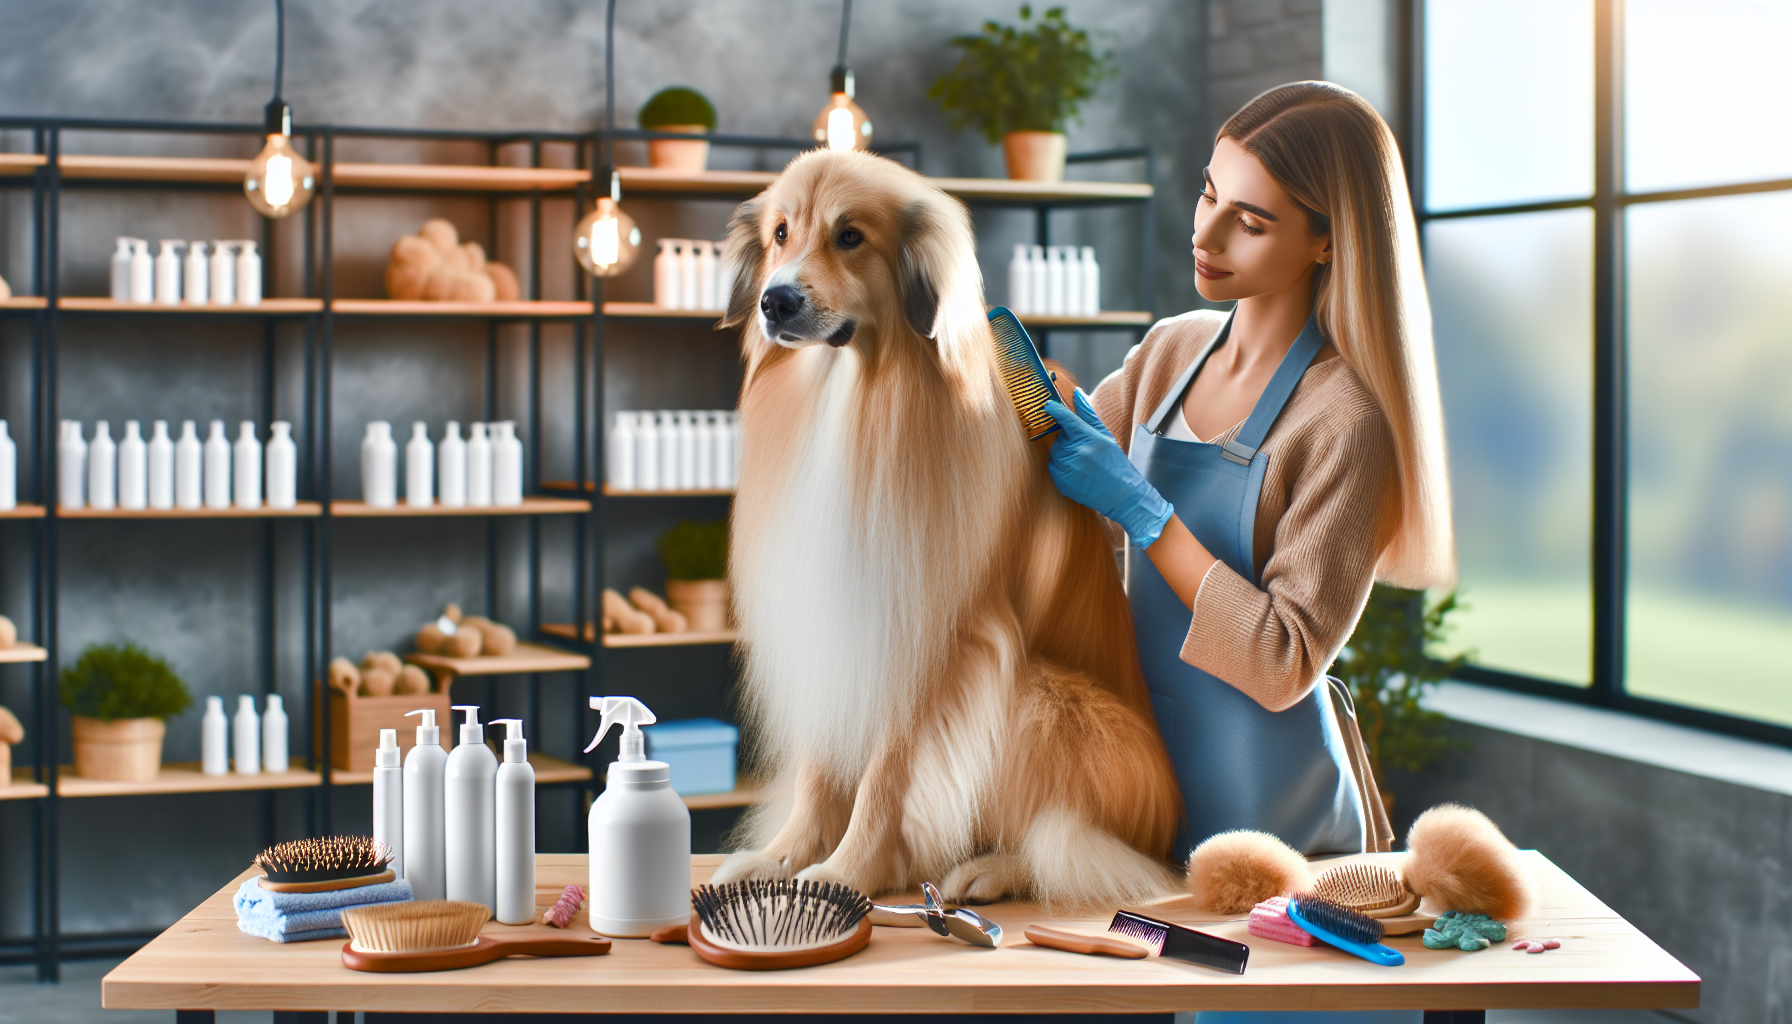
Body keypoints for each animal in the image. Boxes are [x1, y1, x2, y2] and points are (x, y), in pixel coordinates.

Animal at [713, 150, 1189, 903]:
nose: (776, 301)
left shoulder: (934, 639)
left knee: (1075, 846)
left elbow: (886, 778)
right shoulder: (832, 624)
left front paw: (849, 874)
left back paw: (989, 870)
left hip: (1037, 699)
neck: (852, 398)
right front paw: (784, 860)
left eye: (851, 236)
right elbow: (821, 771)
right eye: (781, 234)